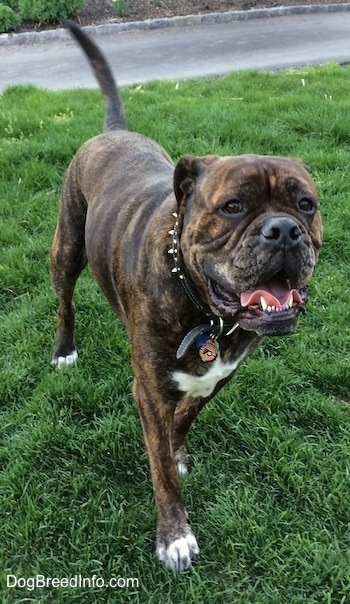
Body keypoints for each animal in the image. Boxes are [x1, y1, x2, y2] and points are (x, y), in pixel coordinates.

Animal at [50, 22, 322, 572]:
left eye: (306, 204)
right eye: (233, 207)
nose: (284, 231)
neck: (207, 313)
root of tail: (113, 132)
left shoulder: (222, 373)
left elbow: (187, 414)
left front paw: (178, 449)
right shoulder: (149, 389)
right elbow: (160, 466)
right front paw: (174, 536)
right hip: (66, 248)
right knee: (65, 300)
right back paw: (64, 349)